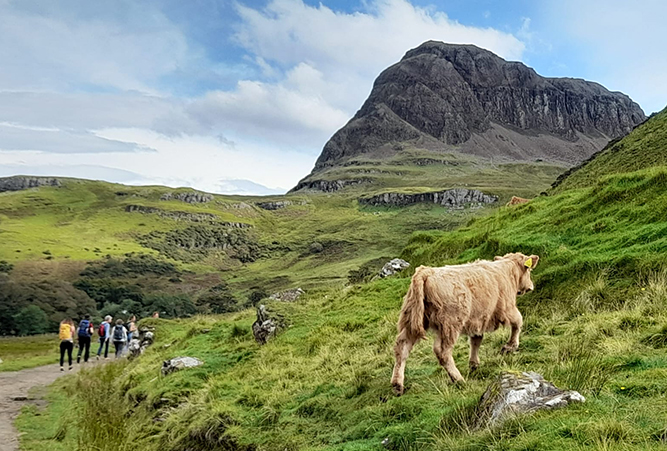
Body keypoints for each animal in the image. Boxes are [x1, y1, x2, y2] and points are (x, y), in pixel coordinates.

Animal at [388, 254, 540, 396]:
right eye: (529, 270)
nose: (530, 287)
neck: (507, 270)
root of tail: (426, 271)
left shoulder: (478, 319)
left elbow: (476, 340)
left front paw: (474, 364)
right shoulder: (507, 308)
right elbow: (518, 321)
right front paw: (510, 346)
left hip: (412, 320)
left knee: (402, 346)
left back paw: (397, 385)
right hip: (450, 324)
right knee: (442, 352)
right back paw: (458, 379)